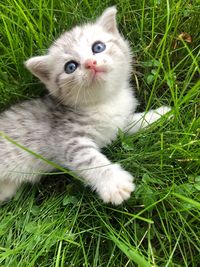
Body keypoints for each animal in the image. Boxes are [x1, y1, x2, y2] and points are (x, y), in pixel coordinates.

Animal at [0, 7, 170, 206]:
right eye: (70, 67)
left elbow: (133, 122)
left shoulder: (118, 124)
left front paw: (160, 115)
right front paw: (114, 183)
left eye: (98, 47)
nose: (90, 63)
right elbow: (89, 160)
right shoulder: (67, 139)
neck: (104, 102)